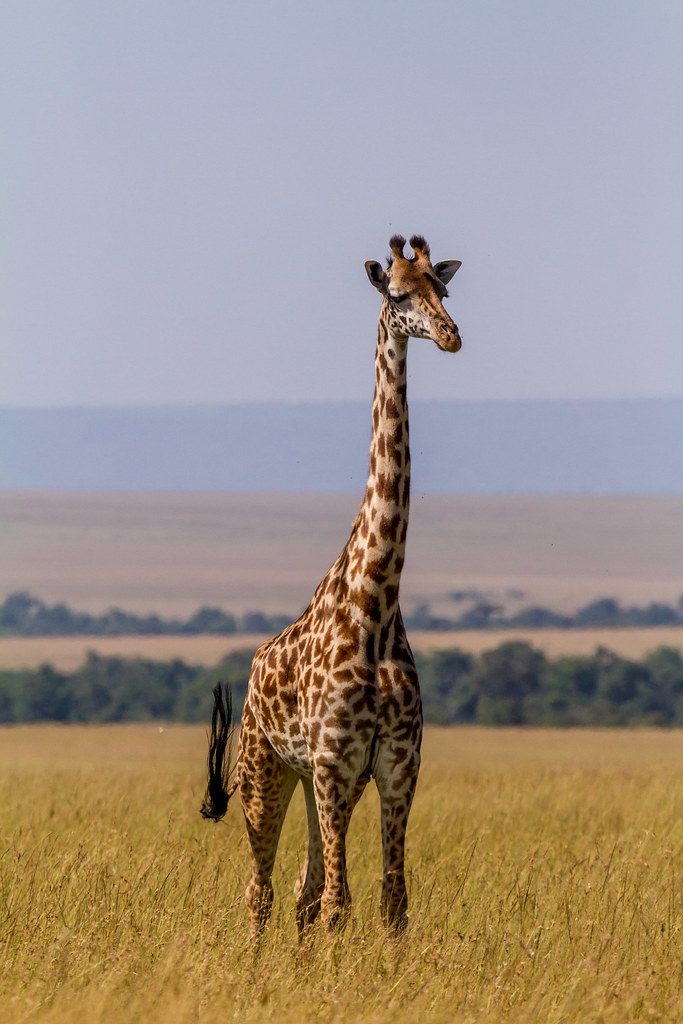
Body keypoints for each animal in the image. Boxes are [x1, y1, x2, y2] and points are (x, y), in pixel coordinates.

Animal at [201, 234, 462, 937]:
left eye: (442, 288)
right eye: (397, 294)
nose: (451, 335)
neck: (376, 603)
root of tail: (254, 669)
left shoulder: (396, 765)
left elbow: (391, 902)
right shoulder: (333, 760)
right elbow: (343, 904)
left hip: (314, 782)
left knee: (302, 890)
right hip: (267, 771)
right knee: (262, 891)